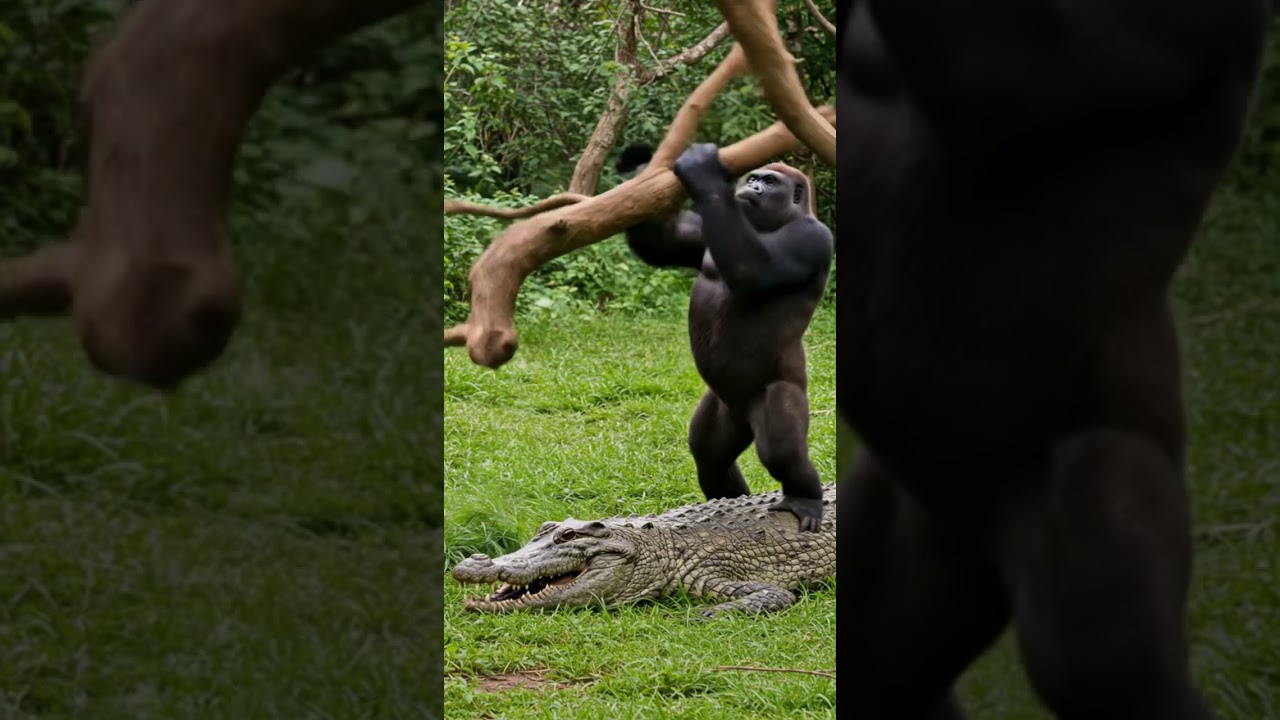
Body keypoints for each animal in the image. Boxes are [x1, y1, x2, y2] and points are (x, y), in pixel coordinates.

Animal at [622, 142, 833, 532]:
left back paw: (806, 497)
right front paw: (641, 170)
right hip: (726, 407)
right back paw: (730, 504)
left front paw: (703, 172)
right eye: (753, 178)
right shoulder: (704, 229)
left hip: (778, 392)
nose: (753, 188)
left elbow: (755, 272)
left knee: (782, 451)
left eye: (770, 181)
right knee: (709, 454)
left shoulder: (812, 237)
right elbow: (660, 245)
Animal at [834, 0, 1267, 718]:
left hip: (1086, 489)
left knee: (1107, 666)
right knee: (873, 657)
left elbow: (1009, 83)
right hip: (917, 534)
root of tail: (972, 526)